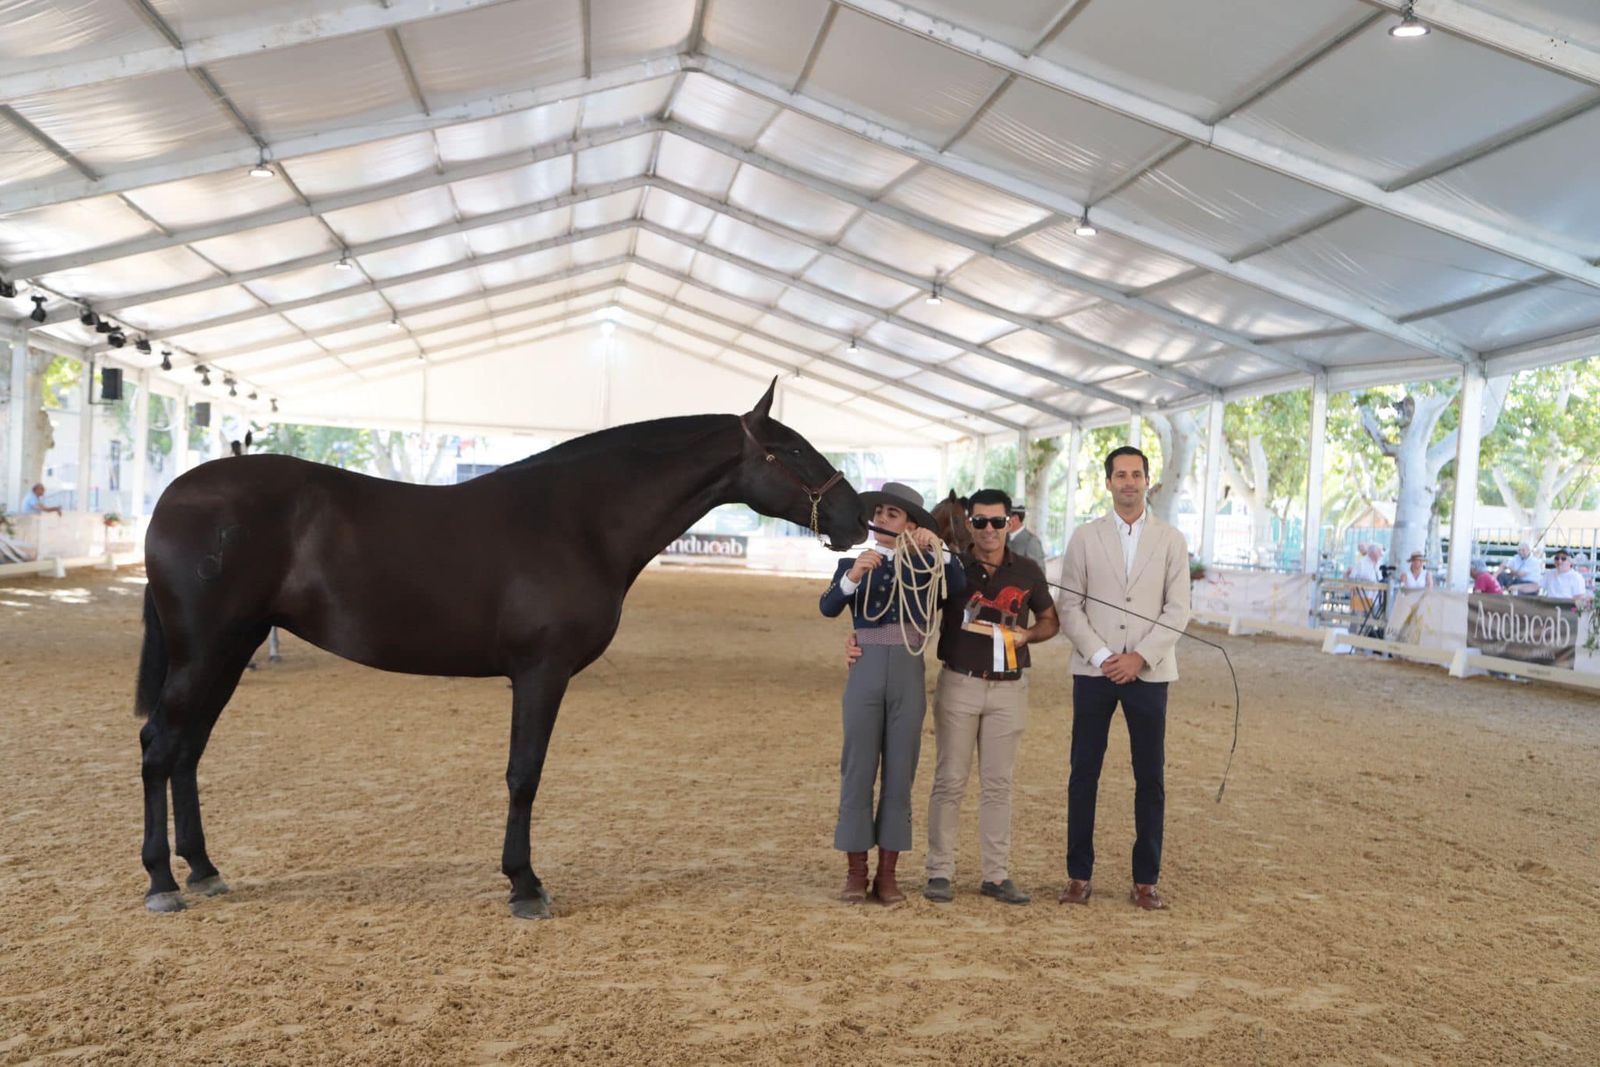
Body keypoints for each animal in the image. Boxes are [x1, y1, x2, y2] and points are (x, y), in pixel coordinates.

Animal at [134, 380, 866, 918]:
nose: (858, 517)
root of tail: (174, 497)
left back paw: (203, 868)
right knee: (160, 747)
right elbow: (525, 774)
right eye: (792, 451)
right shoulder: (541, 672)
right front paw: (525, 884)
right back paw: (162, 881)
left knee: (189, 750)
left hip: (231, 650)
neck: (577, 520)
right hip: (207, 651)